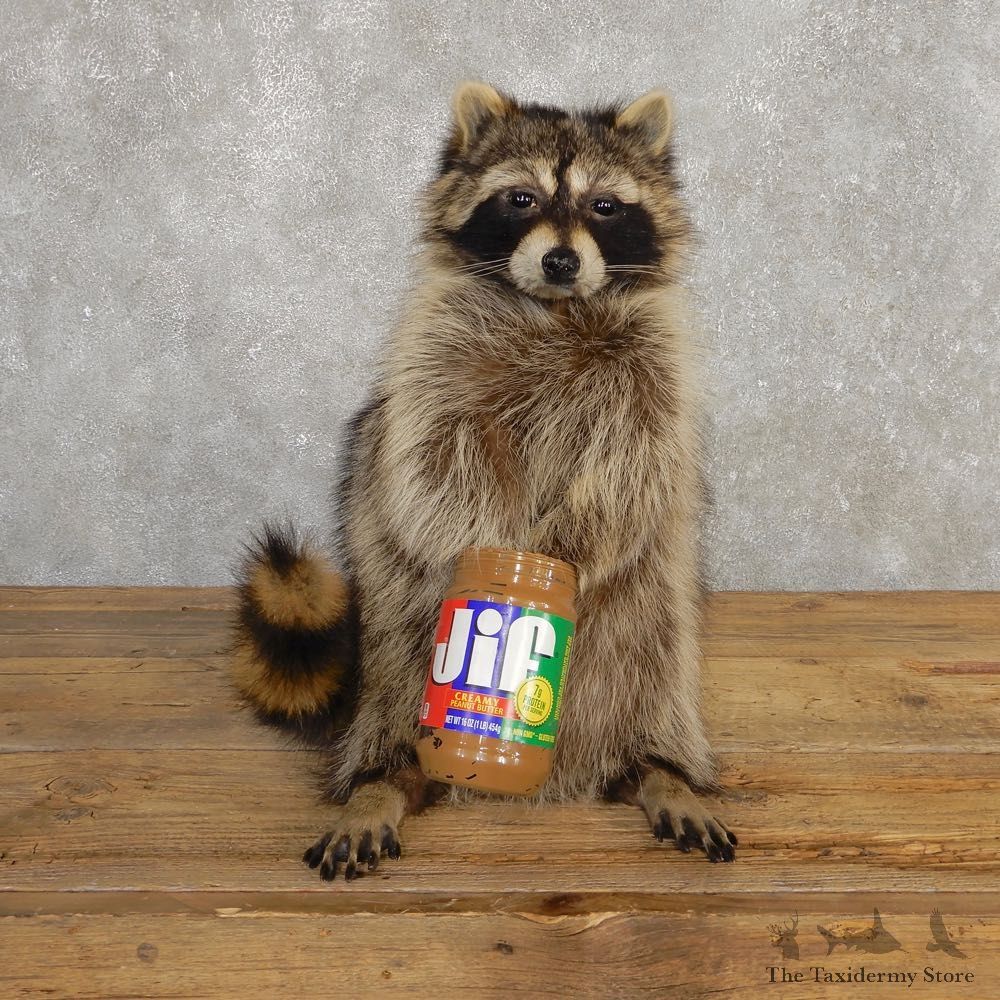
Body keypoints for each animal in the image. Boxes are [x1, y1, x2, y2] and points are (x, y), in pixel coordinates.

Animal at [231, 82, 738, 881]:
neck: (554, 308)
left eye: (604, 206)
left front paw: (563, 561)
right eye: (520, 199)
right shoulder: (436, 354)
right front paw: (499, 561)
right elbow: (436, 460)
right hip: (397, 647)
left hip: (652, 626)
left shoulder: (653, 373)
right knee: (395, 699)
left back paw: (659, 772)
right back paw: (383, 783)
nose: (561, 261)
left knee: (654, 673)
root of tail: (555, 783)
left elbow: (630, 469)